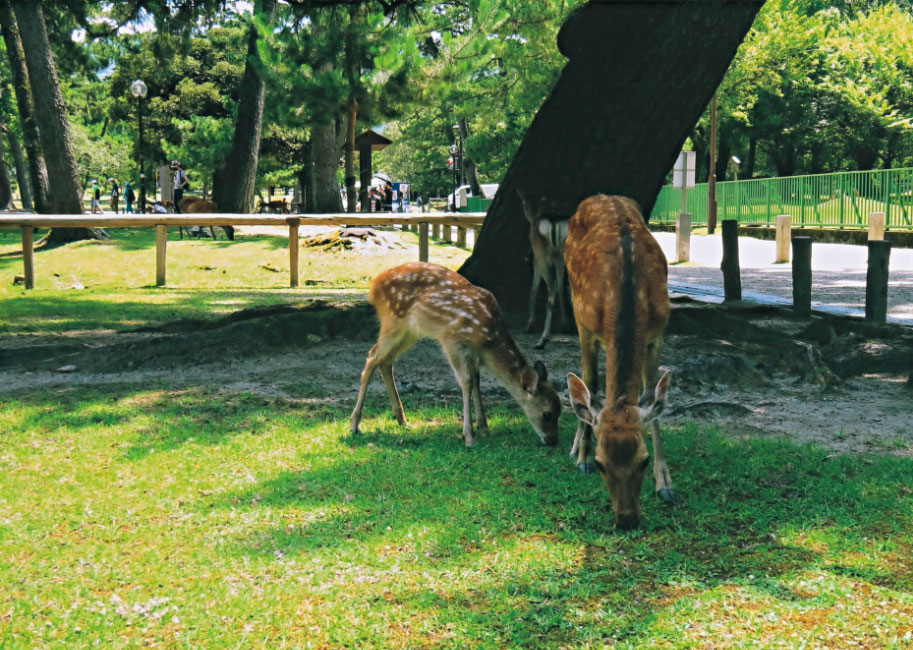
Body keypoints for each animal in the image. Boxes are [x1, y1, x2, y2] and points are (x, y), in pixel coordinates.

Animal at [350, 260, 560, 448]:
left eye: (560, 410)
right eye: (547, 414)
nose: (552, 441)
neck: (488, 340)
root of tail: (374, 285)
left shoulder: (474, 355)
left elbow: (476, 382)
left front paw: (484, 428)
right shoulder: (452, 340)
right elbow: (466, 382)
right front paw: (469, 437)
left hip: (410, 331)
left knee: (385, 361)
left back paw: (402, 419)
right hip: (393, 320)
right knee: (372, 357)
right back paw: (355, 425)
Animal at [516, 189, 568, 350]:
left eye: (524, 203)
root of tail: (554, 224)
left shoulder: (536, 261)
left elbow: (533, 290)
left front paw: (529, 326)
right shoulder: (557, 261)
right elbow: (561, 287)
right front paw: (564, 324)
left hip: (543, 256)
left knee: (552, 284)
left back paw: (542, 339)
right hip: (562, 255)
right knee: (562, 286)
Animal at [560, 192, 672, 528]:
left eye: (643, 460)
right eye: (601, 464)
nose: (627, 520)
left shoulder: (658, 333)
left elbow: (651, 396)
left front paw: (665, 485)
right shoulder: (585, 326)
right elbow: (592, 385)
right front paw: (582, 457)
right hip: (573, 306)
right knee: (585, 383)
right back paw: (574, 447)